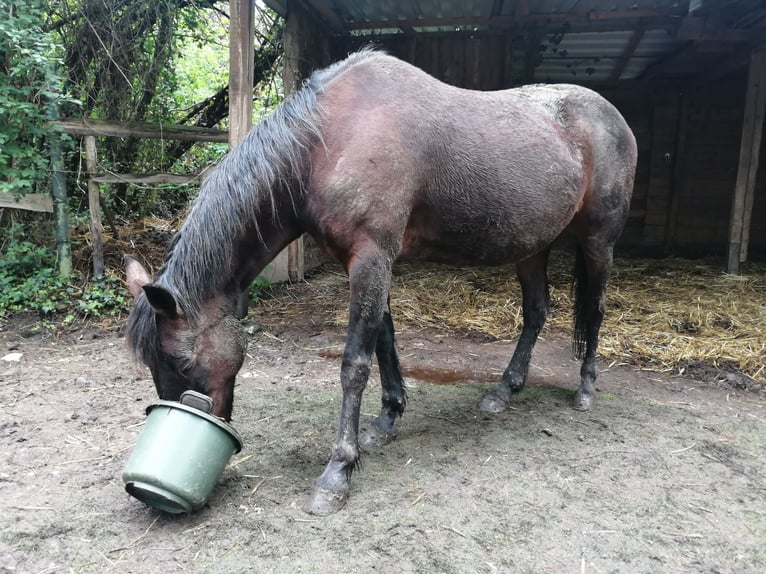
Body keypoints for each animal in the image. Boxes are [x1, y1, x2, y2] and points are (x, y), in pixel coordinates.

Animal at [126, 49, 640, 516]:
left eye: (183, 362)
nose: (199, 418)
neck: (326, 142)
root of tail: (613, 116)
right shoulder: (365, 262)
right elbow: (385, 341)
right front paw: (388, 418)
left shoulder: (372, 257)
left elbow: (355, 362)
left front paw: (337, 472)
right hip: (533, 245)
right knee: (536, 312)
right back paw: (503, 391)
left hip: (599, 240)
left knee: (595, 309)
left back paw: (585, 389)